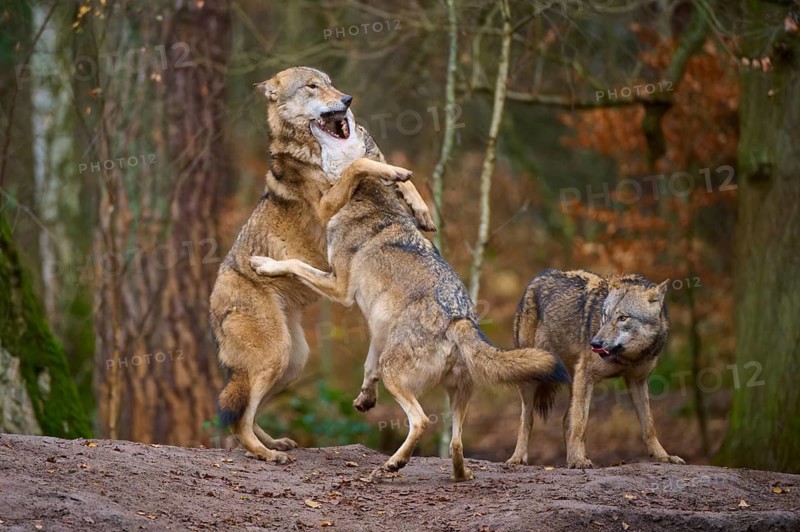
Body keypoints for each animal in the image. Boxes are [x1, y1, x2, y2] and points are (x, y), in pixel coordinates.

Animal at [210, 66, 434, 464]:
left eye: (330, 82)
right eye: (312, 87)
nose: (346, 100)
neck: (313, 150)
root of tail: (212, 304)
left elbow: (392, 177)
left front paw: (417, 204)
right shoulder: (329, 202)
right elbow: (360, 165)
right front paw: (391, 172)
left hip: (291, 363)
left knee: (246, 414)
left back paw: (274, 444)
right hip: (275, 357)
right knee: (240, 420)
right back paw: (267, 454)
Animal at [249, 128, 571, 481]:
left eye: (352, 133)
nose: (339, 117)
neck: (370, 199)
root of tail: (460, 319)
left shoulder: (339, 288)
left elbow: (294, 264)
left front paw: (264, 264)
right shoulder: (378, 327)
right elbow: (368, 366)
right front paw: (365, 398)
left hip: (400, 377)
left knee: (421, 422)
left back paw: (393, 463)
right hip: (456, 395)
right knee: (456, 443)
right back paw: (458, 475)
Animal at [506, 269, 685, 468]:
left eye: (623, 318)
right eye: (605, 316)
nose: (595, 343)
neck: (629, 358)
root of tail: (539, 277)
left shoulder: (637, 381)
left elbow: (649, 426)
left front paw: (664, 456)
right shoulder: (586, 375)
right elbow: (580, 425)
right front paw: (578, 459)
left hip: (573, 381)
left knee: (565, 420)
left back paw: (569, 459)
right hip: (533, 377)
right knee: (527, 419)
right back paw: (518, 458)